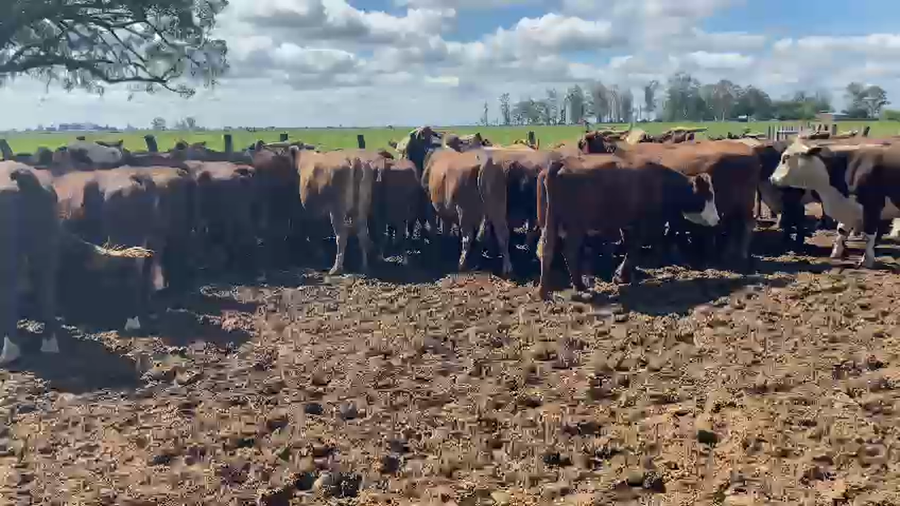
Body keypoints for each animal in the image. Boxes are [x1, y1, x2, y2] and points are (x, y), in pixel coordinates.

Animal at [289, 146, 374, 275]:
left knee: (342, 236)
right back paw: (364, 267)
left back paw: (336, 268)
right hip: (362, 208)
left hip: (337, 209)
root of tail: (353, 159)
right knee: (363, 233)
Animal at [535, 154, 719, 299]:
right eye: (708, 196)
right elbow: (634, 248)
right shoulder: (648, 223)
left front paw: (621, 276)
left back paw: (544, 291)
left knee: (547, 248)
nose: (717, 219)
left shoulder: (627, 224)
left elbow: (630, 245)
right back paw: (579, 286)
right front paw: (622, 276)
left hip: (548, 222)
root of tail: (561, 163)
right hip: (575, 226)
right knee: (570, 251)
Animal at [769, 141, 900, 268]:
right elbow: (841, 231)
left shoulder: (871, 207)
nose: (772, 178)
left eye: (785, 158)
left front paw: (867, 261)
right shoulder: (848, 208)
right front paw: (836, 253)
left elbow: (869, 235)